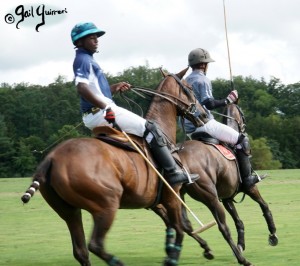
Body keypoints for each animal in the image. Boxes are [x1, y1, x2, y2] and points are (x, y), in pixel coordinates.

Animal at [21, 68, 209, 266]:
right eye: (189, 88)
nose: (204, 115)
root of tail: (50, 158)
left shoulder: (155, 202)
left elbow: (176, 227)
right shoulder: (171, 195)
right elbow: (181, 228)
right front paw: (177, 256)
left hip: (68, 211)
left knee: (81, 251)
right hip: (106, 204)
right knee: (95, 244)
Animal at [176, 103, 278, 266]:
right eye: (242, 114)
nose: (244, 127)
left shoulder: (227, 197)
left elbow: (239, 222)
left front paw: (241, 244)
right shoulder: (250, 187)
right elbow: (264, 206)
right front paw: (273, 234)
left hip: (179, 195)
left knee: (185, 225)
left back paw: (210, 251)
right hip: (210, 197)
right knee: (223, 227)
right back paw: (242, 260)